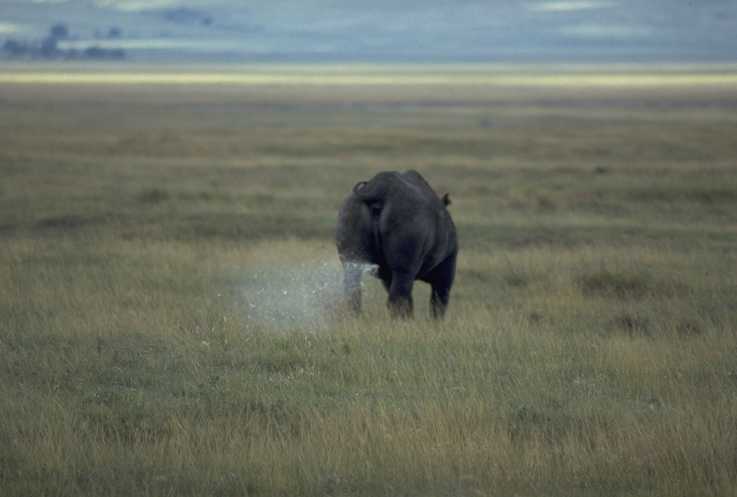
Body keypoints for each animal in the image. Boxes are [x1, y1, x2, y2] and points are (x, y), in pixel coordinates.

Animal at [336, 170, 458, 319]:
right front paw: (436, 322)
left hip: (349, 211)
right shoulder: (448, 262)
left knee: (353, 272)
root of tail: (376, 191)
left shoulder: (387, 275)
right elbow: (440, 297)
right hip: (407, 218)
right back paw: (401, 322)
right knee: (403, 276)